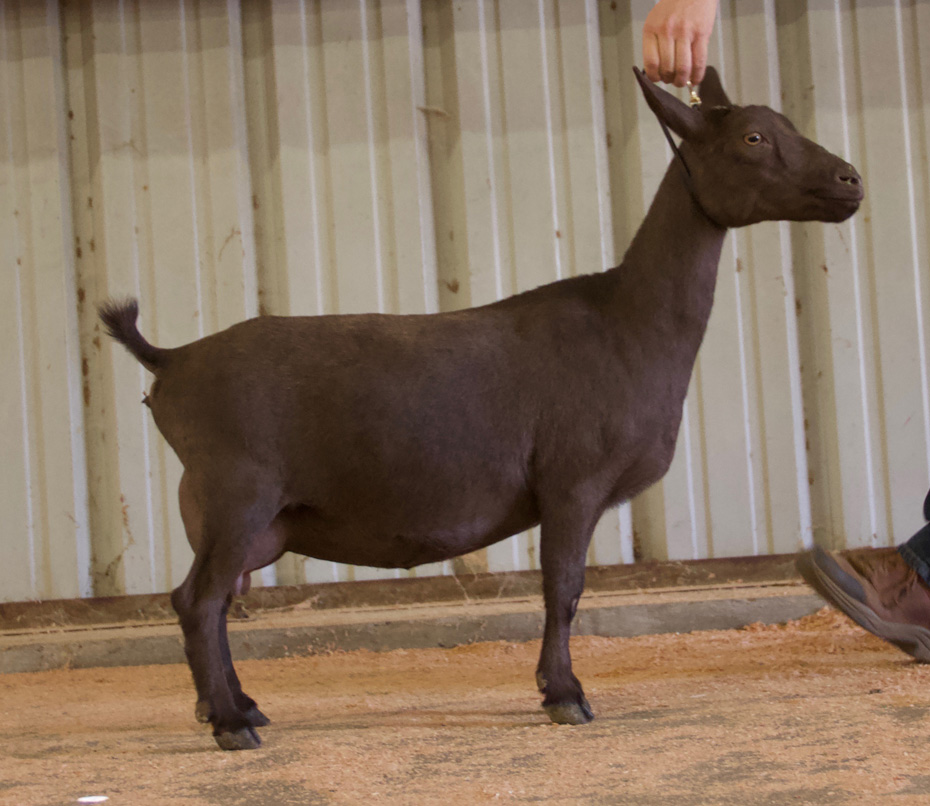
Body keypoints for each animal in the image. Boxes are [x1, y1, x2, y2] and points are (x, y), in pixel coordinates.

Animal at [101, 68, 864, 752]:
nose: (851, 181)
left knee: (215, 599)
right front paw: (565, 696)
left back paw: (237, 706)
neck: (627, 321)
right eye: (754, 137)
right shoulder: (572, 481)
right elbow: (565, 588)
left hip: (245, 515)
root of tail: (170, 361)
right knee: (198, 600)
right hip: (237, 491)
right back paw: (231, 725)